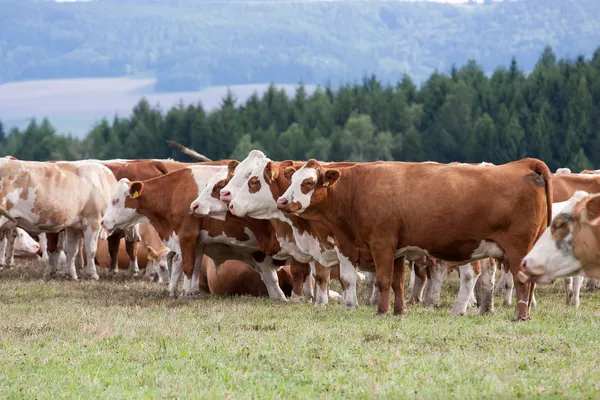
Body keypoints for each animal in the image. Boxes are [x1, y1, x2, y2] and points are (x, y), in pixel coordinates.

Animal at [99, 165, 292, 300]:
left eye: (115, 200)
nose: (102, 221)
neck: (175, 191)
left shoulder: (187, 235)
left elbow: (187, 266)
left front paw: (185, 293)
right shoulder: (195, 242)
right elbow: (188, 264)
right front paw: (181, 291)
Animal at [278, 158, 552, 320]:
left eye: (308, 182)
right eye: (292, 179)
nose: (282, 201)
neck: (357, 190)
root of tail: (523, 164)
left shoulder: (381, 244)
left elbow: (382, 280)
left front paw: (381, 311)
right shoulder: (397, 250)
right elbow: (398, 282)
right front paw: (399, 311)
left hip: (518, 249)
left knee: (520, 281)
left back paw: (520, 315)